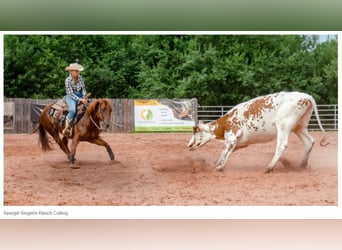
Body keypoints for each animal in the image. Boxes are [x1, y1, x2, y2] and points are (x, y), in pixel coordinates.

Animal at [188, 91, 328, 172]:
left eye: (195, 133)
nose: (188, 145)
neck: (225, 122)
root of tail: (307, 96)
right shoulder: (240, 142)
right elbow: (224, 151)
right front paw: (216, 163)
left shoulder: (232, 137)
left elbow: (226, 151)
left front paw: (219, 167)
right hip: (299, 127)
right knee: (309, 142)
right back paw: (302, 164)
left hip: (283, 125)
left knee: (282, 145)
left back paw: (269, 167)